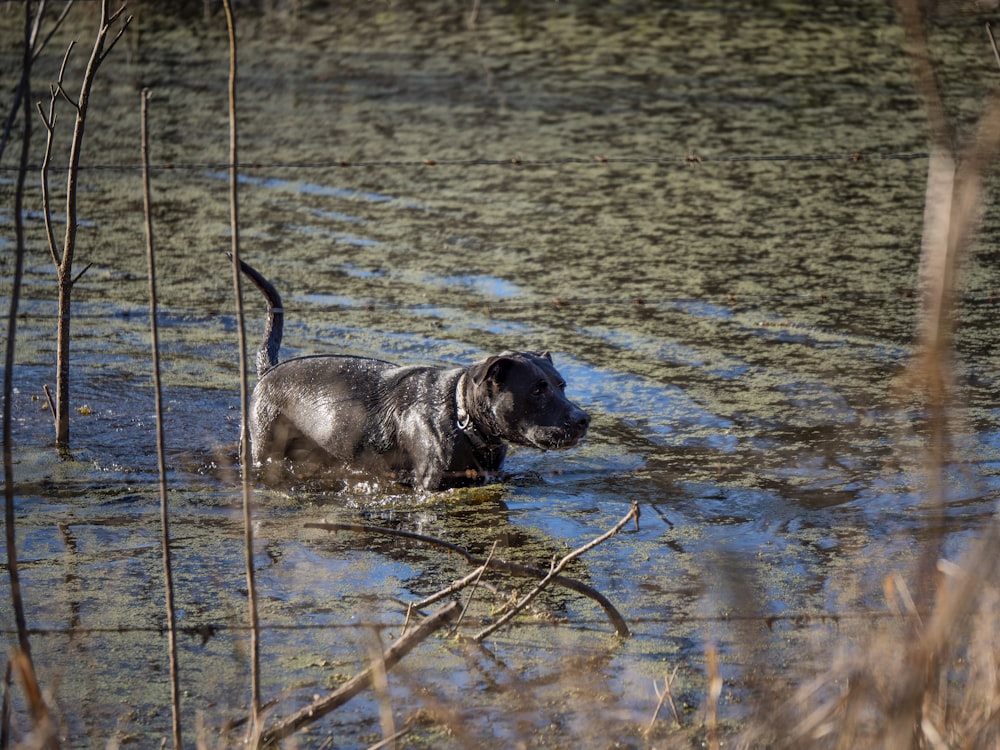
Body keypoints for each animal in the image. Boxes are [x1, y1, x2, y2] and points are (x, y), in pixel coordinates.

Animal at [239, 262, 588, 490]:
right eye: (538, 390)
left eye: (562, 386)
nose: (584, 419)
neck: (462, 418)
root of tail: (269, 369)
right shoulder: (429, 485)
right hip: (262, 444)